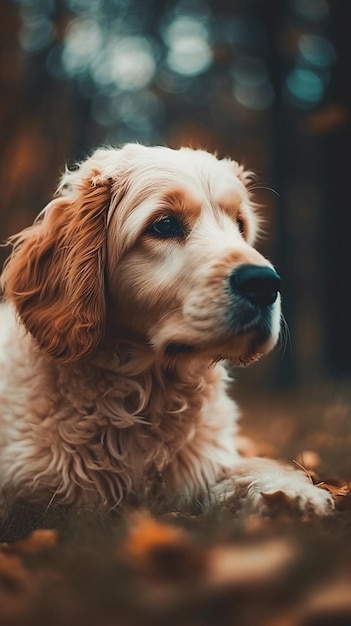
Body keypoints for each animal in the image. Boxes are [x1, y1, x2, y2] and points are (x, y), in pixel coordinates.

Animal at [0, 144, 332, 516]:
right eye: (165, 224)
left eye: (239, 225)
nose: (264, 284)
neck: (145, 392)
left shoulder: (203, 465)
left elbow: (246, 470)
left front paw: (290, 493)